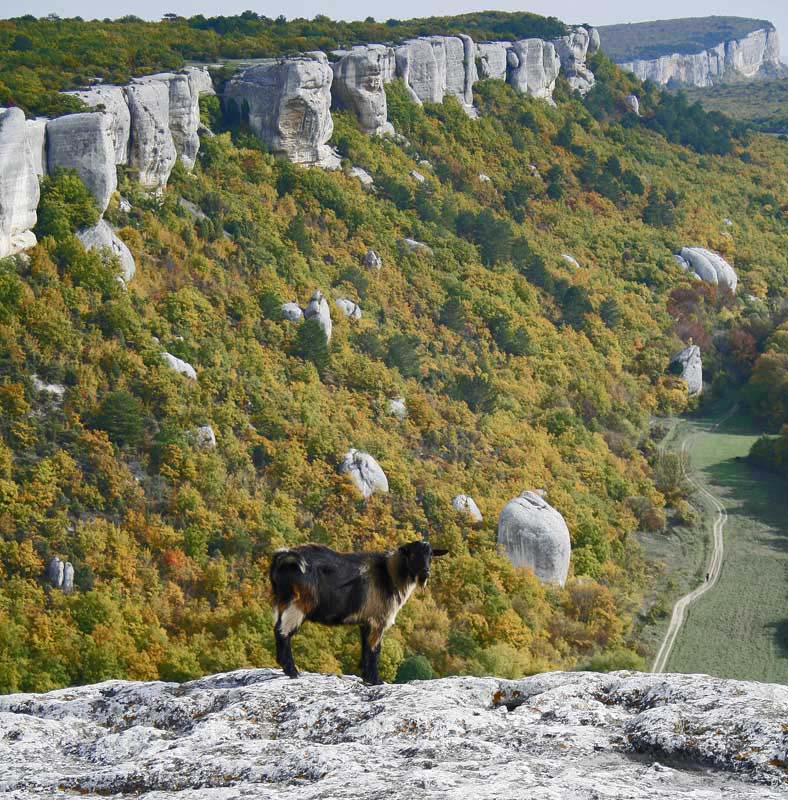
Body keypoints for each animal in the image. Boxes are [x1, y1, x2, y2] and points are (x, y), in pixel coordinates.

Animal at [270, 540, 444, 684]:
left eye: (431, 555)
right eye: (413, 554)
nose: (426, 571)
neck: (388, 575)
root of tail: (283, 557)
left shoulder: (366, 623)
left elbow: (365, 649)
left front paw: (367, 677)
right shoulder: (377, 621)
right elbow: (374, 650)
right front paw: (376, 680)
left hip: (282, 603)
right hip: (297, 605)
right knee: (283, 632)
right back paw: (292, 671)